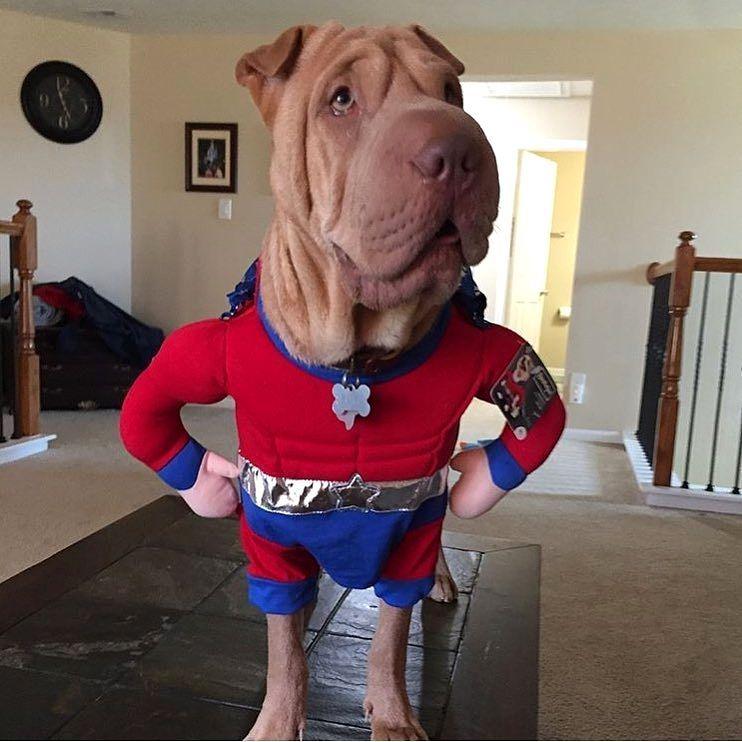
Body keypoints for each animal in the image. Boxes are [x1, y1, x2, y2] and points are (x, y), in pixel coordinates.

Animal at [120, 20, 564, 740]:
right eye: (341, 100)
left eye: (451, 91)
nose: (463, 149)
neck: (356, 357)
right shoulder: (270, 535)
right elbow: (283, 646)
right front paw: (279, 716)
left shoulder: (410, 521)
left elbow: (391, 634)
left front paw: (393, 715)